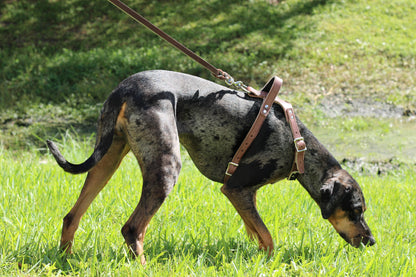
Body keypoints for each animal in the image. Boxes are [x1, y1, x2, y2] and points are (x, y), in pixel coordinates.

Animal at [47, 69, 376, 264]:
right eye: (356, 209)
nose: (372, 241)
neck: (298, 147)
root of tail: (125, 88)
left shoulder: (244, 196)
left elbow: (256, 231)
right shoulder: (235, 188)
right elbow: (268, 238)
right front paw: (268, 263)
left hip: (108, 160)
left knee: (72, 216)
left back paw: (65, 259)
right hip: (165, 167)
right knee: (132, 229)